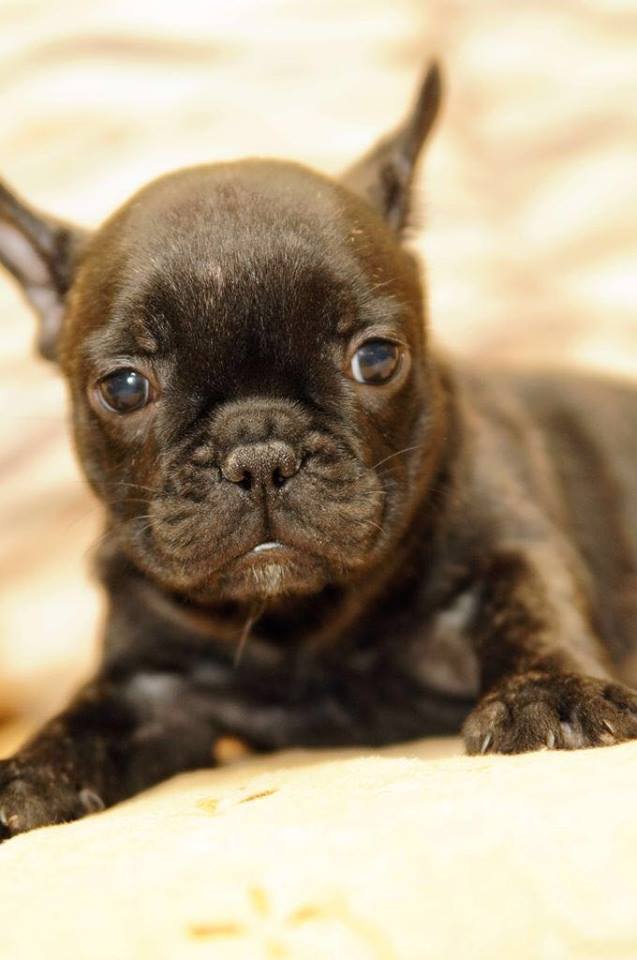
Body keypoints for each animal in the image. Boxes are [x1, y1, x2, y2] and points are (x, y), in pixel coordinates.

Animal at [1, 63, 636, 836]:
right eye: (123, 388)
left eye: (376, 358)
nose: (259, 456)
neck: (302, 622)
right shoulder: (151, 684)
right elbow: (85, 718)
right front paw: (26, 772)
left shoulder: (509, 543)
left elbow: (534, 603)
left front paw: (551, 693)